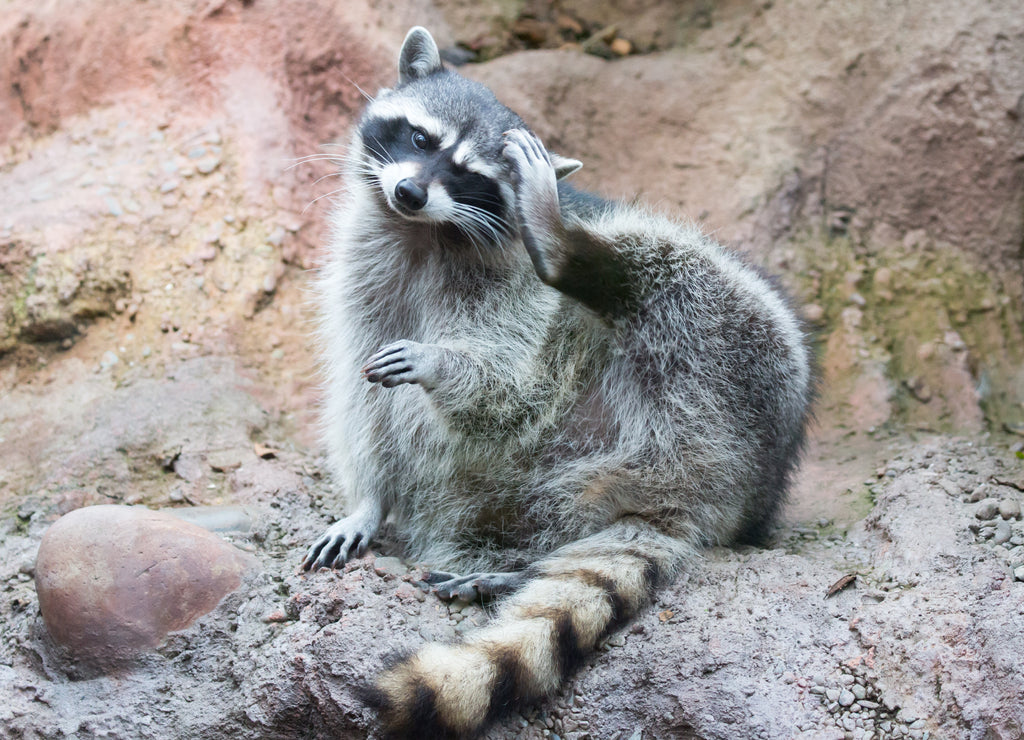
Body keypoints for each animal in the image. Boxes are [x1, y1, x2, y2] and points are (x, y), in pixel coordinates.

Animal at [299, 26, 811, 736]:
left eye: (471, 176)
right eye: (422, 140)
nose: (409, 194)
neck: (423, 233)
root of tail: (722, 491)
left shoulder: (511, 294)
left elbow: (513, 387)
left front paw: (443, 364)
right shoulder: (366, 275)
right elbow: (361, 398)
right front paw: (369, 501)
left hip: (747, 362)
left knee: (667, 264)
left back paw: (573, 253)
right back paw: (511, 569)